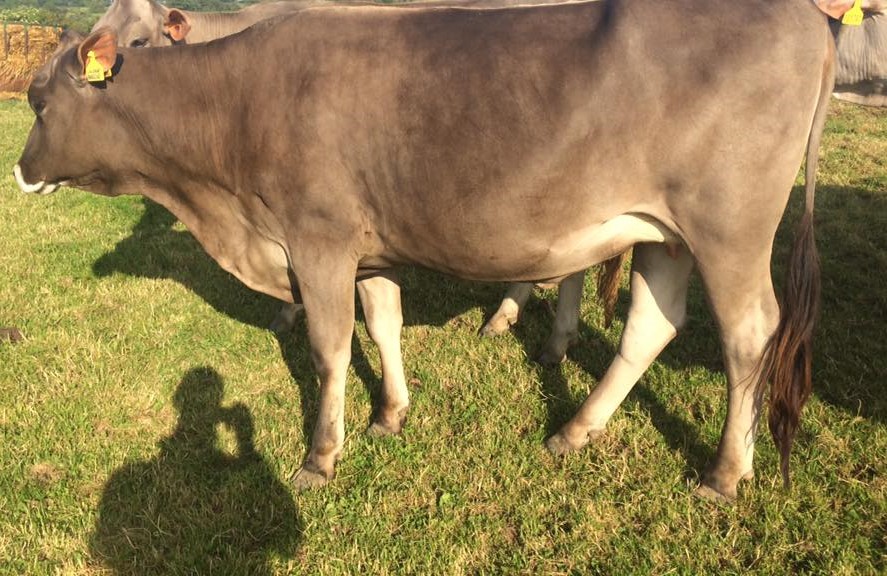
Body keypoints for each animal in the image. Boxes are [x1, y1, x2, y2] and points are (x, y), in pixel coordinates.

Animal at [15, 0, 833, 501]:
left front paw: (320, 457)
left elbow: (329, 350)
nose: (20, 171)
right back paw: (573, 430)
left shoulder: (318, 238)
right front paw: (391, 413)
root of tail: (810, 20)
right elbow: (382, 324)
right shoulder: (368, 248)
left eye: (39, 103)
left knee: (748, 334)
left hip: (729, 228)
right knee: (651, 326)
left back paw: (725, 472)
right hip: (663, 233)